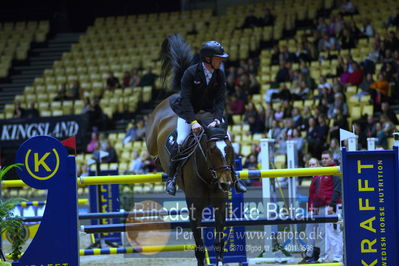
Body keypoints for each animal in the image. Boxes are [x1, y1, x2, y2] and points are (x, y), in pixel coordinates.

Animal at [145, 34, 236, 264]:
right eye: (211, 150)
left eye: (229, 150)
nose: (226, 183)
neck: (210, 176)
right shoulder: (195, 210)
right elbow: (200, 248)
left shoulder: (221, 207)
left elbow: (219, 244)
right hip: (152, 138)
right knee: (154, 150)